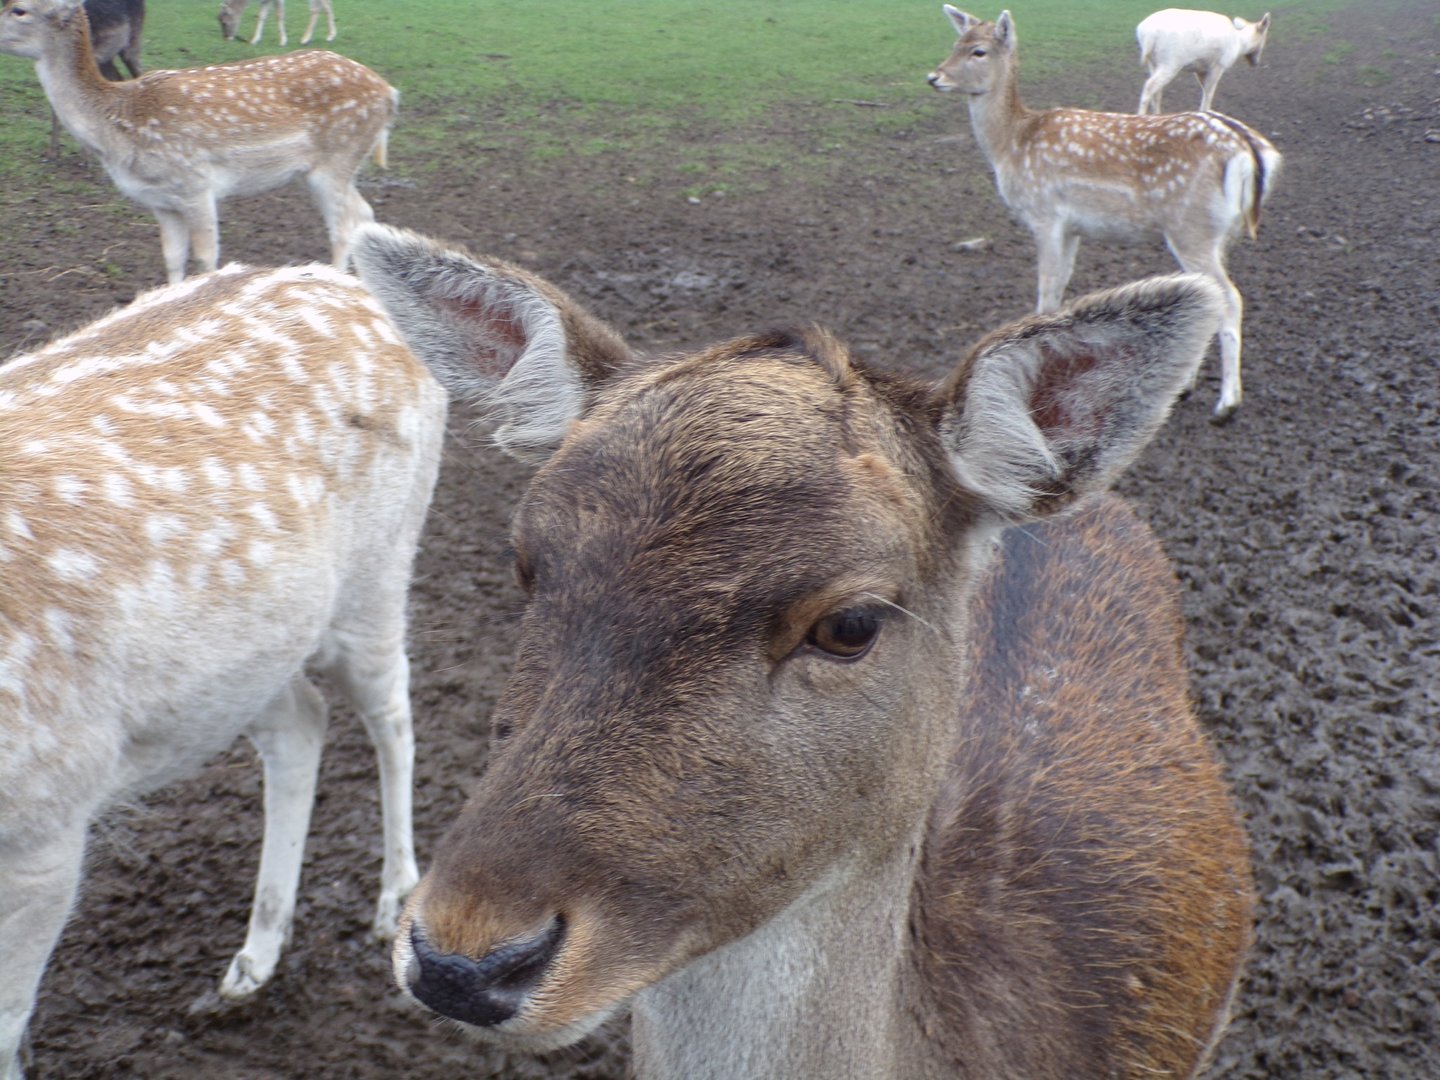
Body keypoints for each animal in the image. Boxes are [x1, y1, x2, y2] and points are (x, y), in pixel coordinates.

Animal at [0, 0, 393, 284]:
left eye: (19, 9)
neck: (118, 128)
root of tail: (390, 93)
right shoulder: (160, 200)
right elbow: (172, 259)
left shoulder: (196, 185)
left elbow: (206, 260)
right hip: (334, 167)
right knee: (363, 212)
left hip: (337, 157)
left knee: (341, 228)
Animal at [0, 261, 447, 1080]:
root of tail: (352, 282)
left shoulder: (48, 824)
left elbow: (8, 1017)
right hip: (245, 663)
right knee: (302, 722)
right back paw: (254, 958)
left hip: (379, 572)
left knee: (393, 711)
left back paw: (391, 900)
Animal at [1137, 8, 1271, 116]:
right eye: (1264, 38)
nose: (1255, 63)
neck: (1240, 43)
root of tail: (1146, 34)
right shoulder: (1218, 65)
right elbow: (1209, 93)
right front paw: (1206, 113)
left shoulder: (1201, 69)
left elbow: (1205, 91)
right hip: (1170, 61)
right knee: (1149, 86)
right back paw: (1141, 115)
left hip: (1153, 62)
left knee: (1157, 92)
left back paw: (1156, 116)